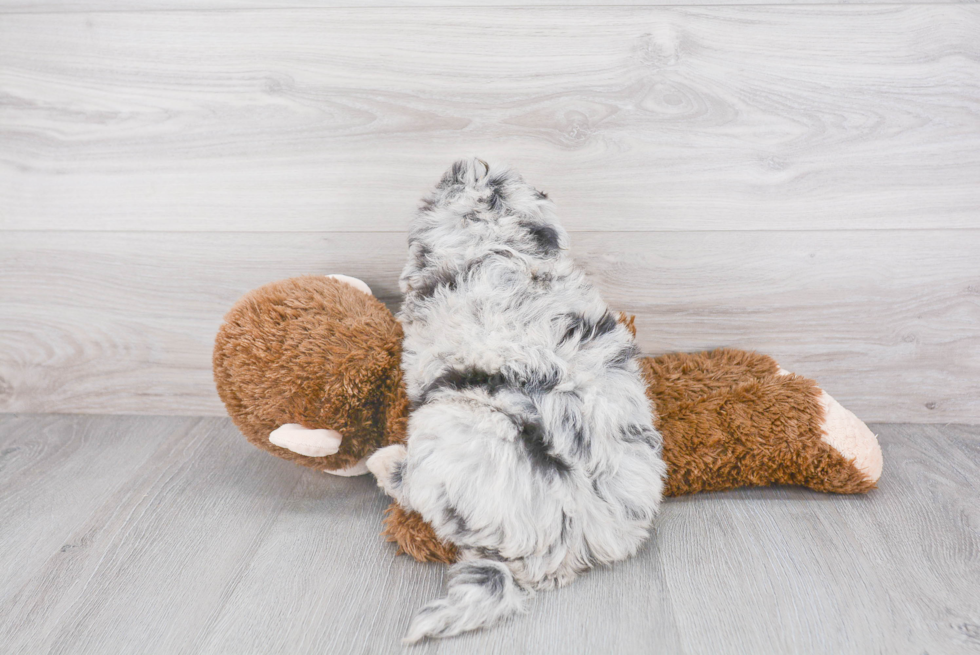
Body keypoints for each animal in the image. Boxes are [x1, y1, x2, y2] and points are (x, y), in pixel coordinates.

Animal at [368, 160, 668, 644]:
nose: (464, 162)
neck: (496, 242)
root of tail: (574, 540)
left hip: (448, 428)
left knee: (415, 487)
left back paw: (386, 463)